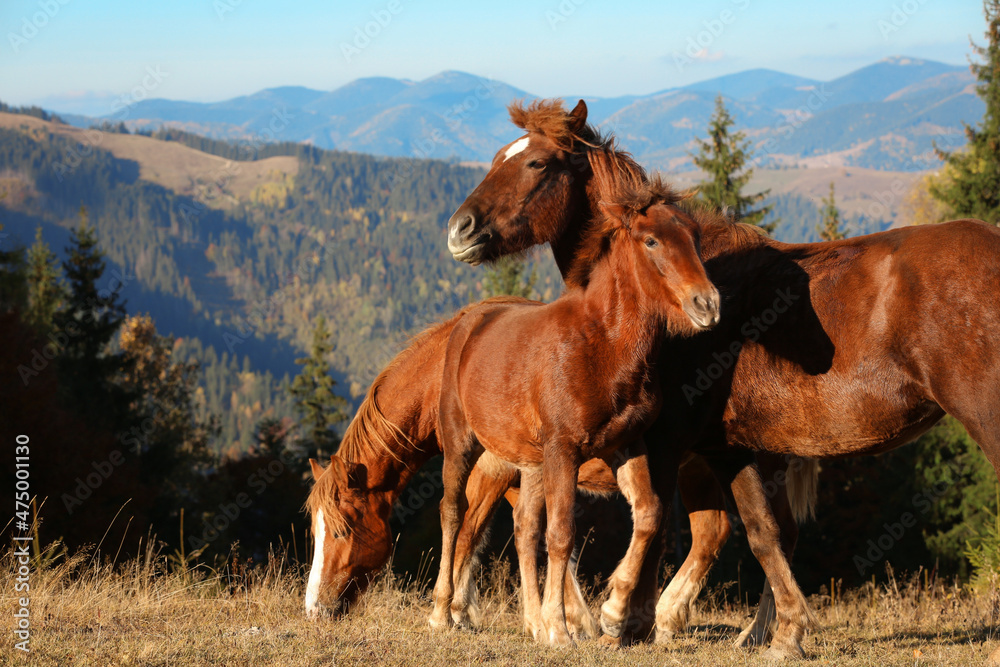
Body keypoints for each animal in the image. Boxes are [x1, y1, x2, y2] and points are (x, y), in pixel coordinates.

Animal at [432, 176, 721, 646]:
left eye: (694, 238)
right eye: (652, 240)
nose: (708, 305)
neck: (601, 345)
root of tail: (469, 321)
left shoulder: (626, 445)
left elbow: (649, 514)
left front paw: (612, 612)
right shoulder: (564, 450)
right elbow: (562, 534)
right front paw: (562, 629)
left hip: (530, 464)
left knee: (524, 529)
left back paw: (532, 624)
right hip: (462, 445)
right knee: (454, 514)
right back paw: (442, 613)